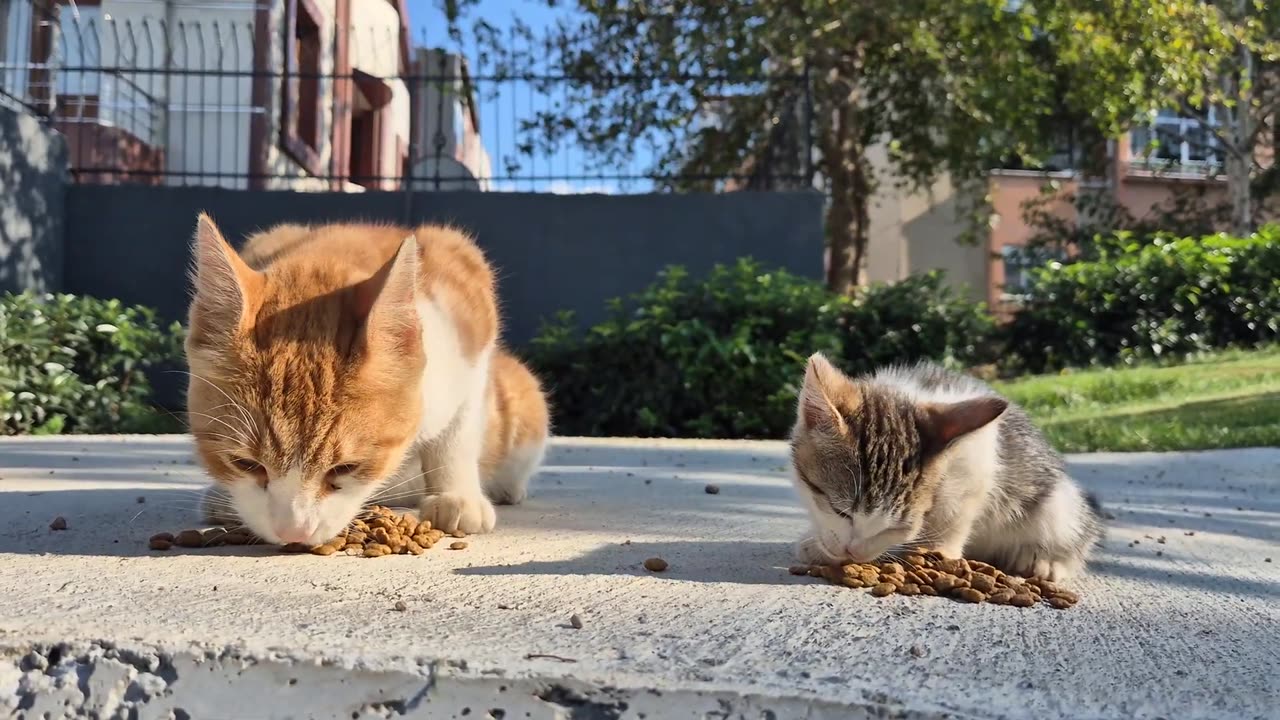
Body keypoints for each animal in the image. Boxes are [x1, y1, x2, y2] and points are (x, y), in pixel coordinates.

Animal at [185, 215, 545, 540]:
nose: (293, 532)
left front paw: (456, 496)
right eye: (245, 464)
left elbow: (457, 430)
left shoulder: (469, 315)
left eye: (346, 468)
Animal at [788, 353, 1100, 576]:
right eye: (839, 511)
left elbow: (957, 511)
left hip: (1056, 501)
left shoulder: (978, 459)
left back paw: (1048, 561)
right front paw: (818, 544)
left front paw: (939, 551)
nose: (854, 553)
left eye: (897, 527)